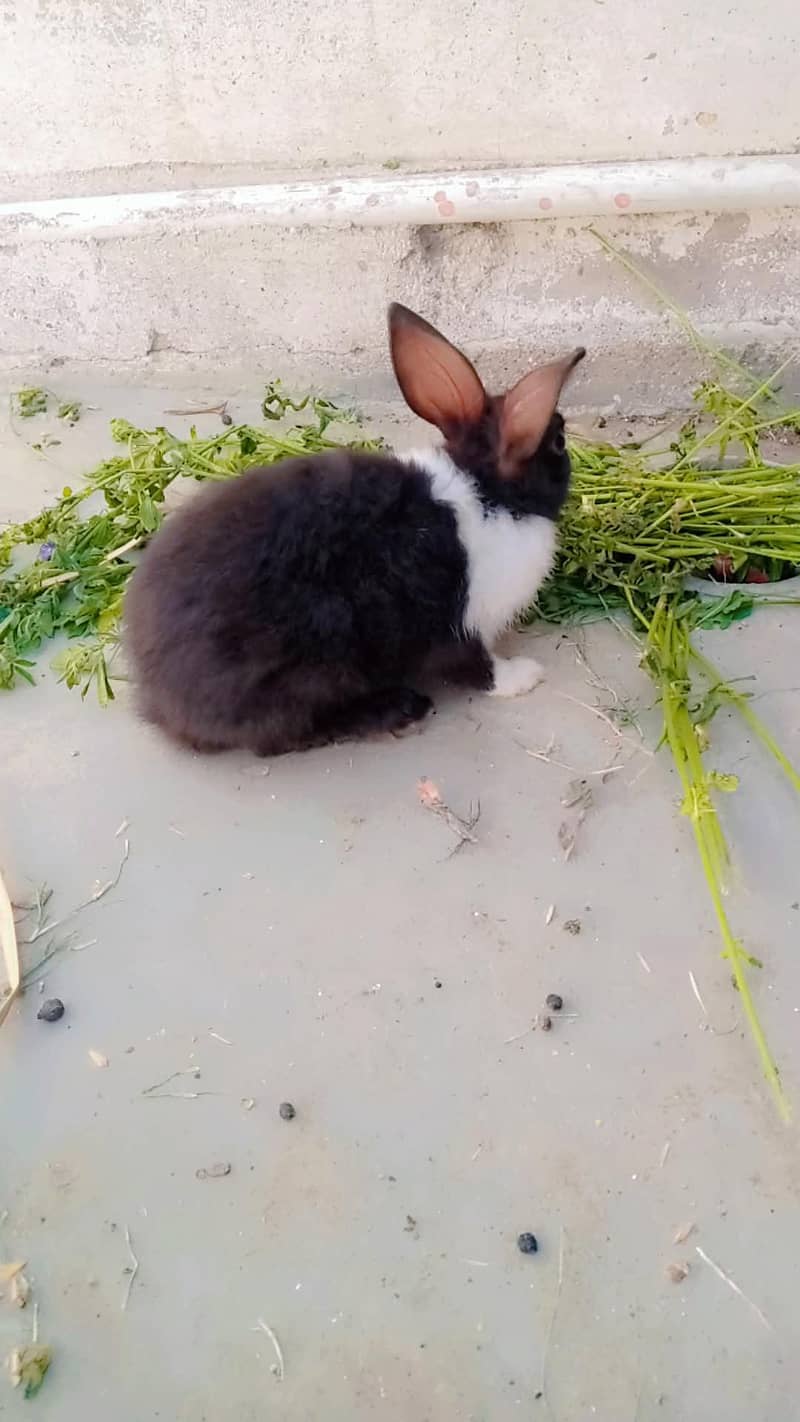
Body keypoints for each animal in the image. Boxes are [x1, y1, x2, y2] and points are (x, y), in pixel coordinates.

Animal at [124, 303, 585, 757]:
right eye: (559, 443)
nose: (568, 450)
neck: (489, 492)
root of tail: (159, 696)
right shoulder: (462, 625)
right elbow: (479, 669)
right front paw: (525, 676)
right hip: (313, 673)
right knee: (279, 737)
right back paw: (399, 709)